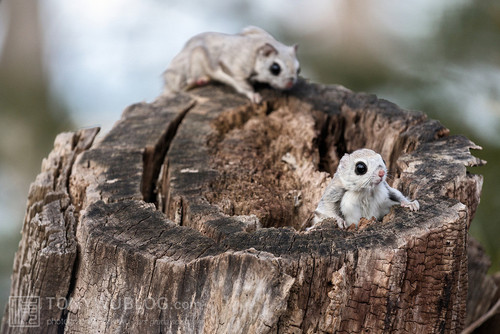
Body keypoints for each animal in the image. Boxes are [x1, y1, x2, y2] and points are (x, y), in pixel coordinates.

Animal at [163, 25, 300, 102]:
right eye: (275, 68)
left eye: (298, 70)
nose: (290, 84)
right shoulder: (236, 68)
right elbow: (243, 85)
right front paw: (254, 96)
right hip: (195, 59)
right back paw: (201, 79)